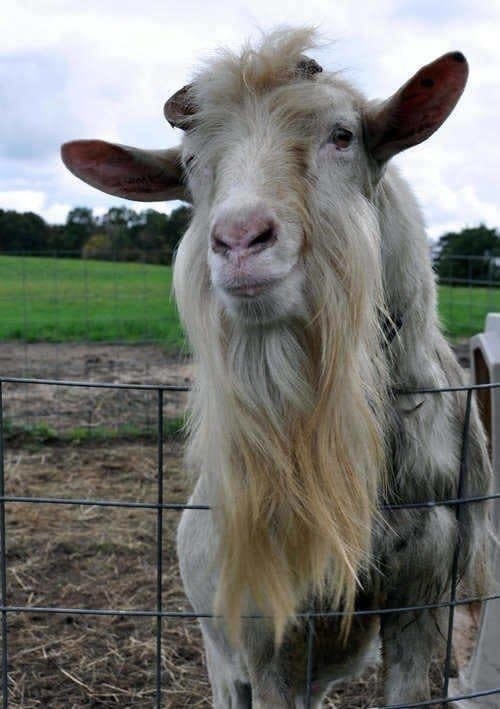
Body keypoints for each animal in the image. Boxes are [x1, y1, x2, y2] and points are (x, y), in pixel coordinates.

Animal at [62, 28, 492, 707]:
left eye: (342, 135)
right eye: (190, 166)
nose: (239, 240)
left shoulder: (421, 597)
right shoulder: (268, 634)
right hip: (223, 649)